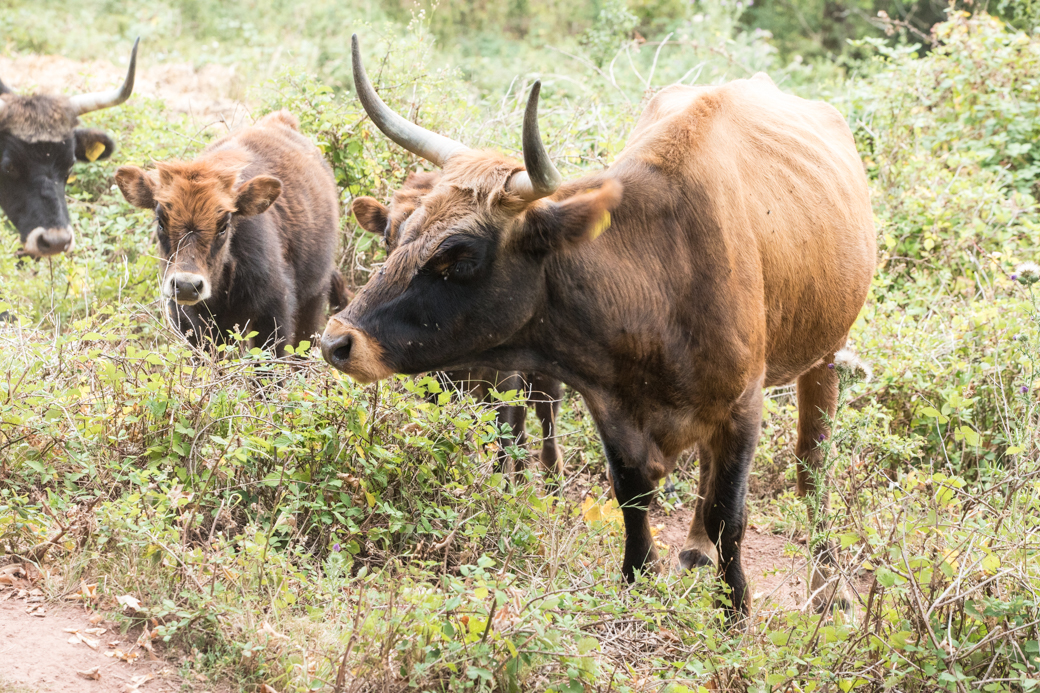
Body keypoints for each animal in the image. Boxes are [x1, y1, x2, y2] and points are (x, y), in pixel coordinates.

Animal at [320, 36, 873, 616]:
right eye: (399, 233)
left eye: (460, 255)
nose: (338, 341)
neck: (660, 277)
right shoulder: (608, 402)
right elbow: (631, 493)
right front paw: (637, 580)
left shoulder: (744, 403)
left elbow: (730, 514)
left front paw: (735, 611)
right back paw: (694, 547)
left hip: (827, 353)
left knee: (812, 466)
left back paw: (828, 585)